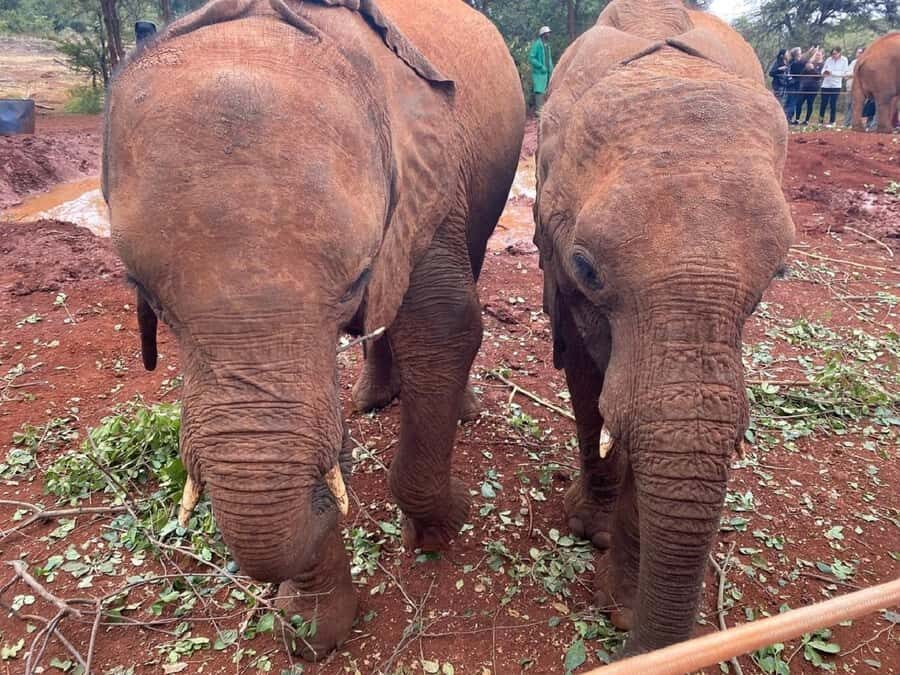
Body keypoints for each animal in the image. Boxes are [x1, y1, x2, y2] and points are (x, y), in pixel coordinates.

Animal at [103, 0, 525, 659]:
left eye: (354, 281)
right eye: (148, 296)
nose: (334, 468)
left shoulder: (428, 183)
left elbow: (444, 330)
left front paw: (441, 526)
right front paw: (310, 633)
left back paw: (454, 410)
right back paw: (371, 401)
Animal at [534, 0, 794, 657]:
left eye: (777, 273)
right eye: (586, 268)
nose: (636, 644)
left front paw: (620, 604)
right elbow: (587, 383)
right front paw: (588, 532)